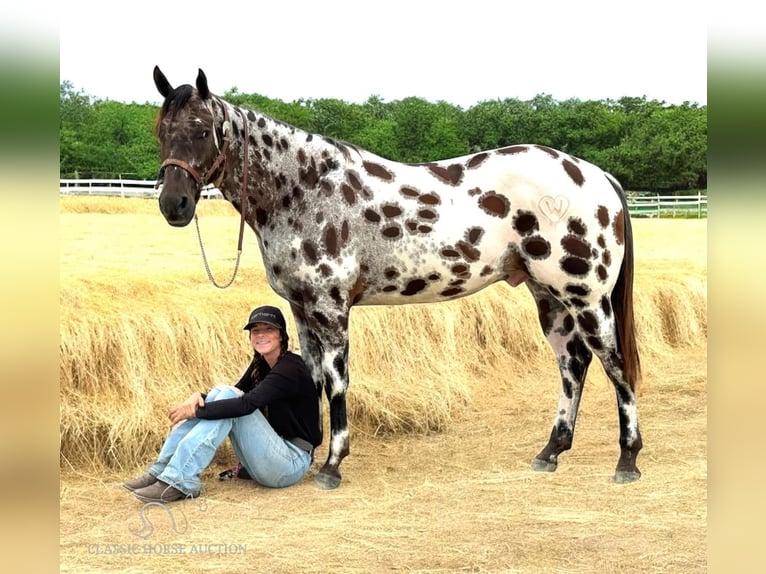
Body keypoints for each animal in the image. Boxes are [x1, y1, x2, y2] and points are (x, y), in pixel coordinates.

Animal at [150, 67, 640, 490]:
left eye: (202, 129)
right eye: (162, 130)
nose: (174, 204)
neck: (306, 190)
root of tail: (596, 175)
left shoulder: (331, 309)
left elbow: (338, 383)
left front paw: (332, 464)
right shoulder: (303, 310)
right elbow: (313, 380)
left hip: (587, 297)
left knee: (615, 365)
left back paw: (627, 459)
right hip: (550, 298)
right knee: (573, 365)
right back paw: (551, 451)